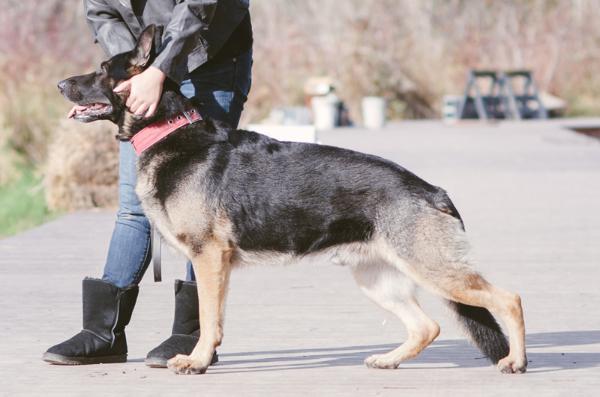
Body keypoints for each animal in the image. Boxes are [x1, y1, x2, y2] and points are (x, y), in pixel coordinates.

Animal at [56, 25, 524, 374]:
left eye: (102, 70)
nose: (60, 84)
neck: (167, 128)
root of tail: (432, 189)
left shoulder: (209, 259)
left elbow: (208, 318)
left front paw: (197, 360)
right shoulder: (212, 263)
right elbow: (210, 316)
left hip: (435, 271)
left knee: (509, 300)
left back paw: (515, 361)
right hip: (377, 278)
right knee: (427, 327)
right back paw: (389, 360)